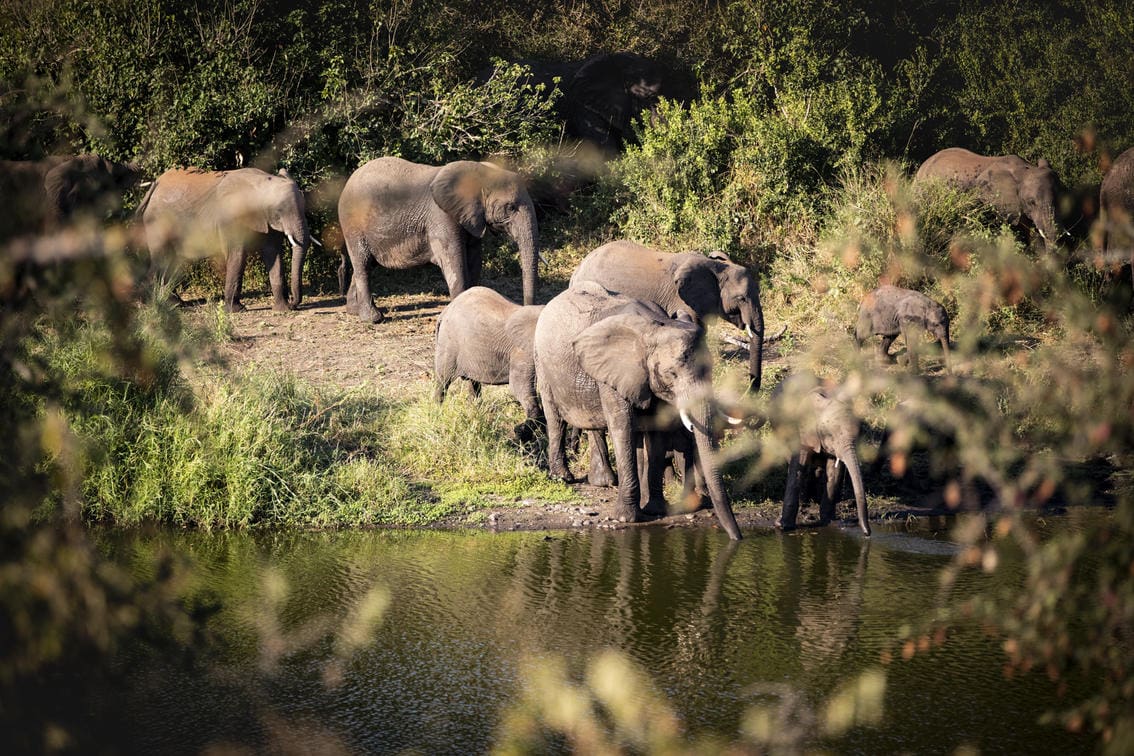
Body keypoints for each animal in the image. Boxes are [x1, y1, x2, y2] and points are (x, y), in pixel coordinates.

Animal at [136, 166, 310, 312]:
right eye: (279, 210)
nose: (293, 303)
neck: (261, 182)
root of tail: (156, 184)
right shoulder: (232, 219)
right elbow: (238, 255)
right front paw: (236, 310)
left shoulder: (267, 221)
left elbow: (273, 253)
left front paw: (283, 309)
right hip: (157, 222)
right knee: (162, 259)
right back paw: (150, 303)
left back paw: (175, 304)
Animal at [337, 157, 540, 323]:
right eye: (511, 207)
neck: (481, 173)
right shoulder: (442, 217)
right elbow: (455, 262)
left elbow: (474, 260)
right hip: (353, 226)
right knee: (363, 264)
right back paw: (373, 319)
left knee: (367, 264)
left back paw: (354, 311)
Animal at [433, 286, 544, 441]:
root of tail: (445, 311)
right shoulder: (523, 352)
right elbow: (519, 387)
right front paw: (520, 434)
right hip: (448, 345)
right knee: (443, 381)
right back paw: (437, 415)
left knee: (473, 383)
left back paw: (475, 414)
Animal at [533, 281, 743, 540]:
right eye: (671, 374)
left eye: (710, 370)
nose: (737, 538)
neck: (654, 327)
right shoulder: (615, 371)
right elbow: (621, 426)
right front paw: (626, 518)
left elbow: (656, 435)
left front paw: (655, 510)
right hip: (542, 362)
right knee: (556, 419)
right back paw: (563, 477)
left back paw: (603, 481)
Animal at [772, 376, 871, 536]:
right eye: (829, 434)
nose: (867, 533)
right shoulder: (803, 430)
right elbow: (797, 468)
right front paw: (782, 526)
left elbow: (834, 472)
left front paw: (829, 522)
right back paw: (805, 502)